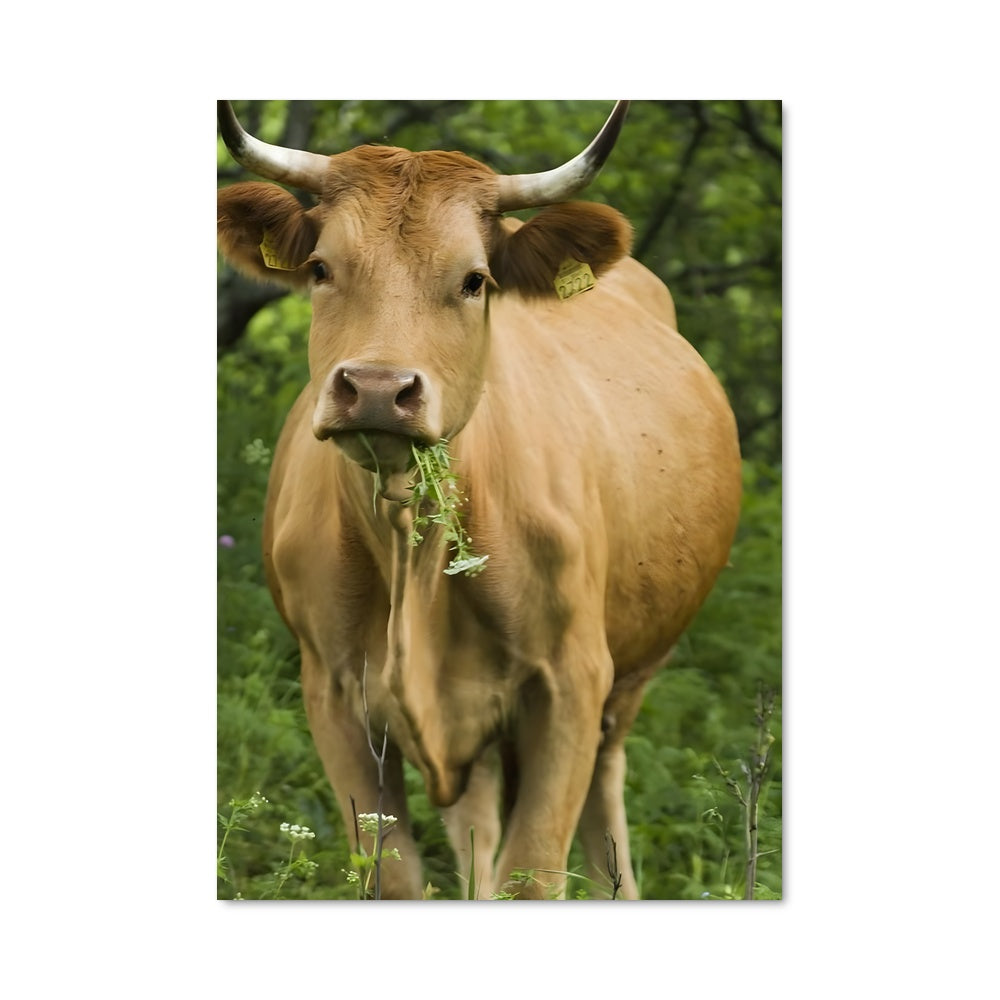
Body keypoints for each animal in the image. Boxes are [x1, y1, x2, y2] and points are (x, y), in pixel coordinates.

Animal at [217, 100, 742, 899]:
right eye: (321, 268)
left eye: (472, 280)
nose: (377, 388)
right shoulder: (331, 691)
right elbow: (396, 875)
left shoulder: (569, 685)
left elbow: (536, 870)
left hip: (630, 676)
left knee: (604, 806)